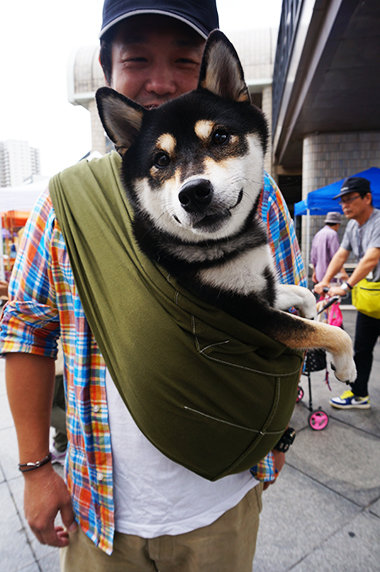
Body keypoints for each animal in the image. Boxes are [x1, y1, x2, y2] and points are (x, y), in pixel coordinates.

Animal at [95, 29, 356, 382]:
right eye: (161, 160)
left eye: (220, 137)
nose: (194, 192)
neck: (226, 246)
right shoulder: (244, 314)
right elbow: (333, 333)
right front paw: (346, 365)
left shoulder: (262, 288)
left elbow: (302, 293)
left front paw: (313, 309)